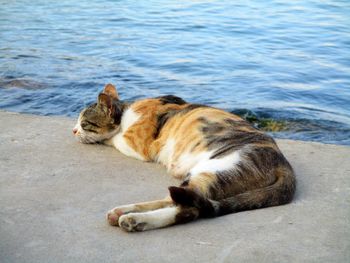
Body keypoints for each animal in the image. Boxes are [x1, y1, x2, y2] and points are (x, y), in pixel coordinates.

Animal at [74, 84, 296, 233]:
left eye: (84, 123)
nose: (73, 130)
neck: (127, 111)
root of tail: (283, 163)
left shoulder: (135, 144)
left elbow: (113, 138)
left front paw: (98, 137)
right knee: (174, 200)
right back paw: (123, 213)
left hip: (217, 168)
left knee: (188, 208)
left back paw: (133, 219)